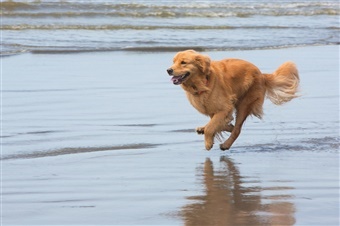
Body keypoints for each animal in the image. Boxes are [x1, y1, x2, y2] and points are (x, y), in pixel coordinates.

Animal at [166, 50, 298, 151]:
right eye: (173, 62)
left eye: (183, 62)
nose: (168, 70)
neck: (203, 83)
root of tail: (262, 74)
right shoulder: (212, 109)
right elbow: (216, 123)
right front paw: (216, 129)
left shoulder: (224, 107)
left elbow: (212, 127)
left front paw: (208, 142)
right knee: (231, 126)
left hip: (244, 104)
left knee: (237, 130)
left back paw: (226, 144)